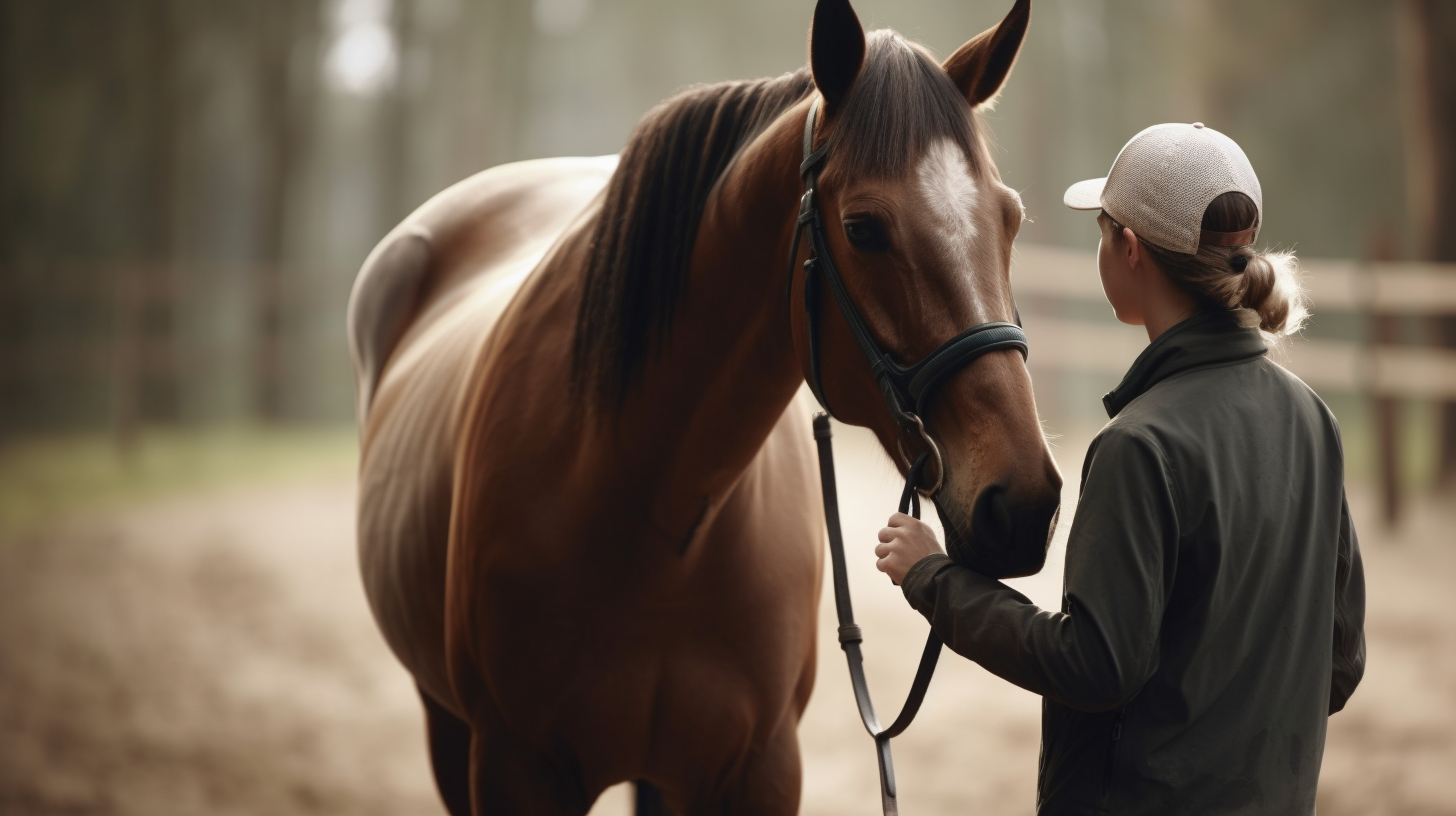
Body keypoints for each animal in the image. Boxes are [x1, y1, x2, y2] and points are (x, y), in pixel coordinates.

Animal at [349, 1, 1059, 810]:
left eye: (1009, 218)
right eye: (863, 229)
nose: (1025, 501)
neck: (657, 519)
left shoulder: (759, 767)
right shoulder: (512, 764)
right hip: (446, 725)